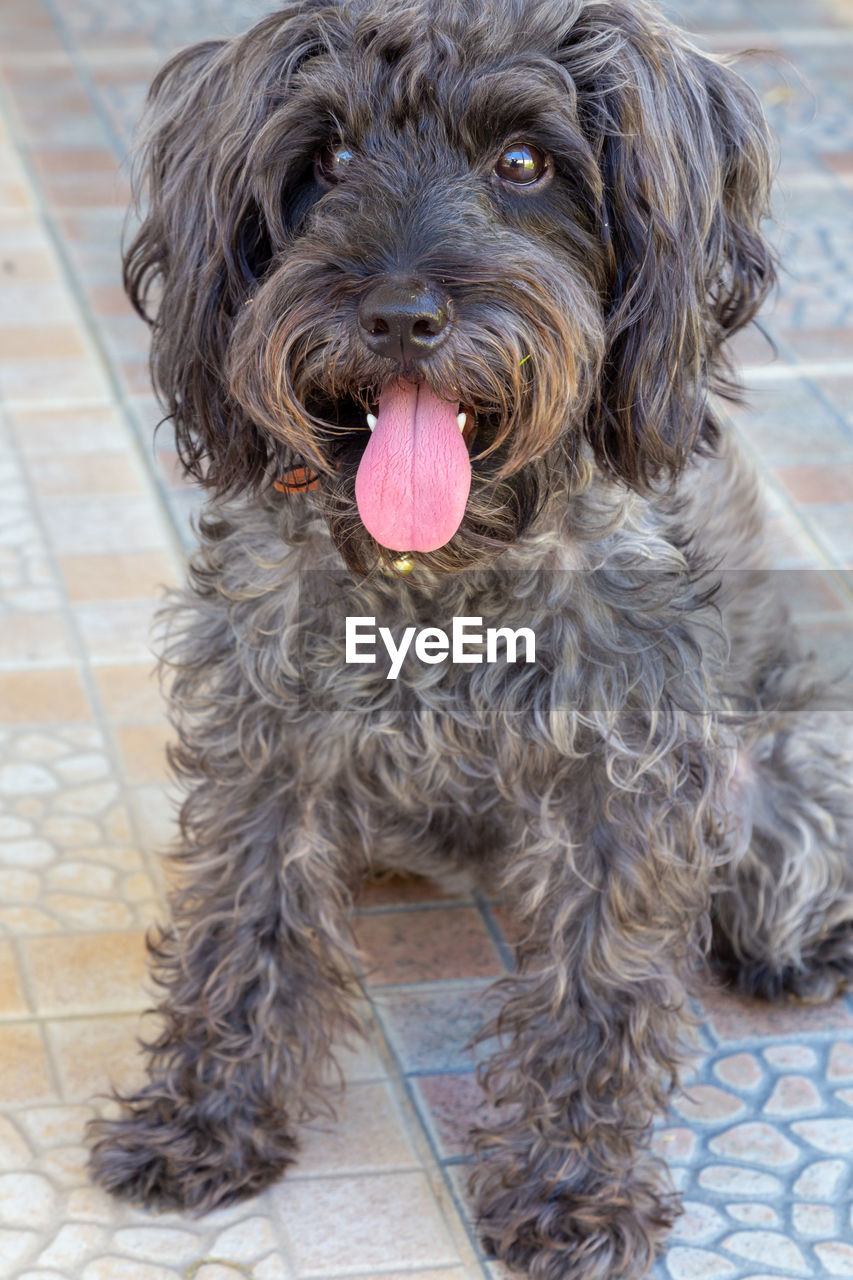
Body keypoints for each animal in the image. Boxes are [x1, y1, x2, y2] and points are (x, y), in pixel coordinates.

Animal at [87, 0, 850, 1274]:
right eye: (330, 157)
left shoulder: (620, 784)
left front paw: (571, 1189)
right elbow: (243, 924)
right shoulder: (269, 747)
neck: (441, 575)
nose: (400, 315)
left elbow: (596, 989)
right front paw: (205, 1114)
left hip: (788, 774)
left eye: (526, 162)